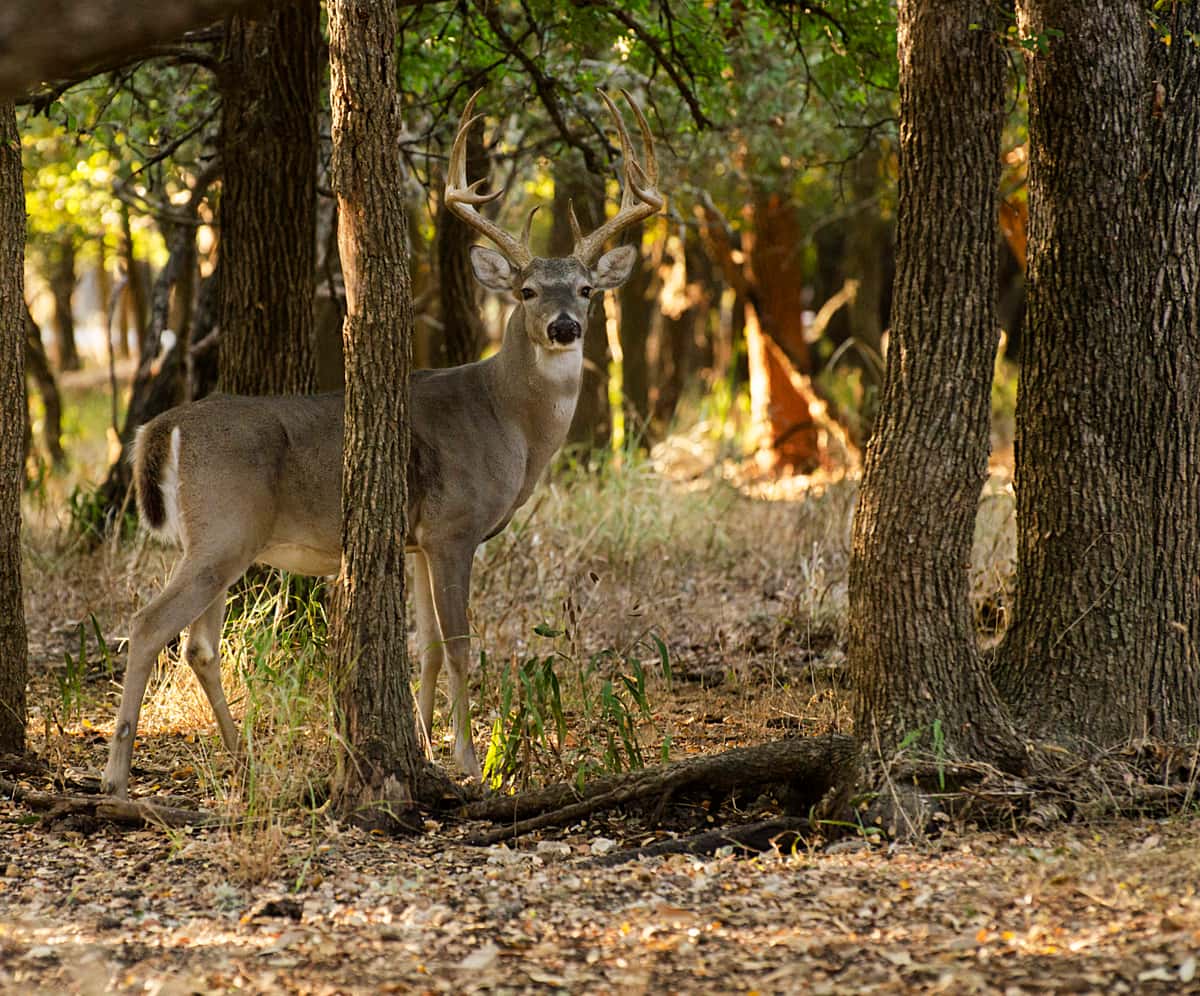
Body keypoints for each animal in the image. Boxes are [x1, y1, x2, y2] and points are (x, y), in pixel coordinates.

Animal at [101, 89, 663, 798]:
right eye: (528, 290)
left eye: (586, 289)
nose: (565, 326)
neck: (507, 420)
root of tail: (162, 426)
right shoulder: (454, 526)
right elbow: (460, 645)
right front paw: (470, 762)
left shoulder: (417, 538)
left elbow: (425, 646)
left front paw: (421, 747)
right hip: (225, 528)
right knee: (148, 625)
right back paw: (116, 776)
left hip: (218, 540)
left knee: (196, 643)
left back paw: (241, 759)